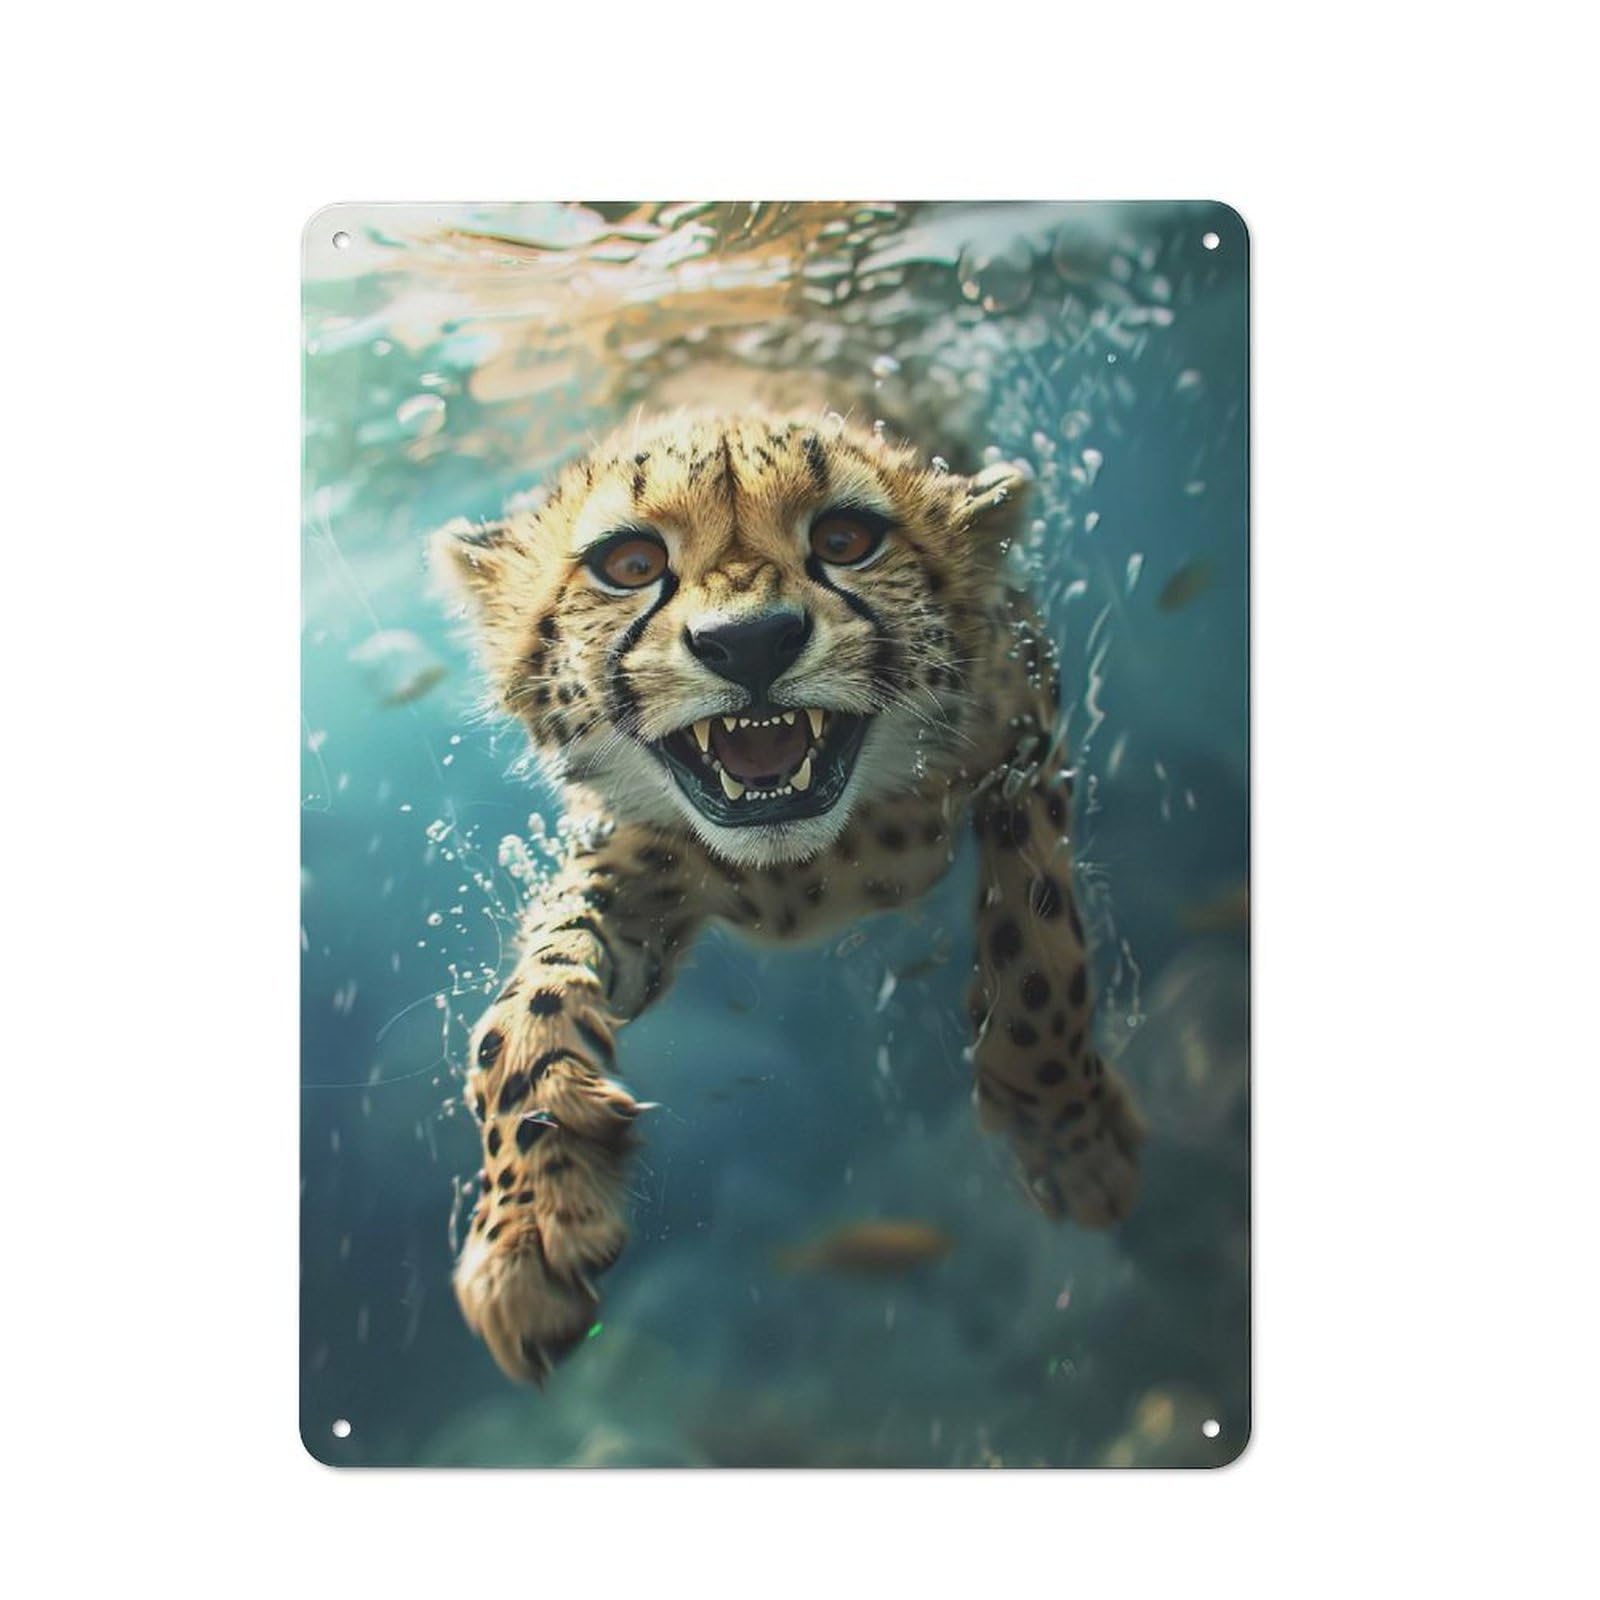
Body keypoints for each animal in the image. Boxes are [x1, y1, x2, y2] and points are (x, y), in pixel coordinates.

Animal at [434, 409, 1144, 1384]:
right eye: (630, 563)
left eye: (846, 540)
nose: (751, 641)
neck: (812, 866)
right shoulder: (636, 860)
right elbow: (524, 1007)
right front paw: (529, 1219)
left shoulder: (1025, 731)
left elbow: (1038, 956)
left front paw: (1069, 1137)